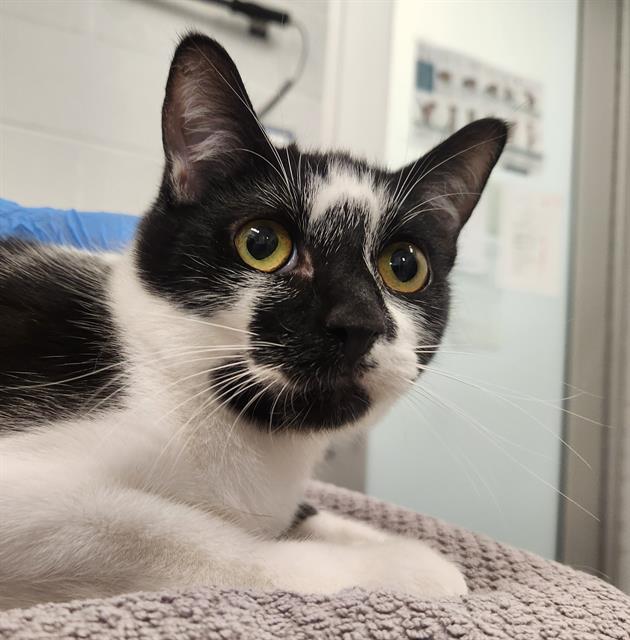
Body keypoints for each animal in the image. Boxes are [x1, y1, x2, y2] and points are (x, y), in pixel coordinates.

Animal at [0, 33, 506, 610]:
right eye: (262, 243)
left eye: (404, 266)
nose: (357, 320)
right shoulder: (34, 500)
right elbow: (182, 535)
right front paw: (405, 565)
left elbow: (308, 514)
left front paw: (370, 536)